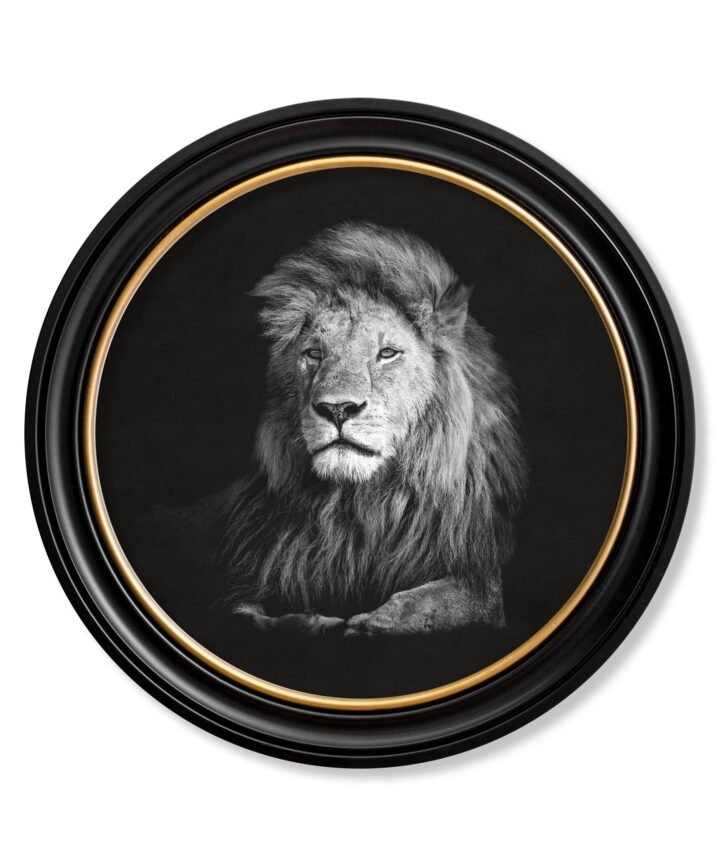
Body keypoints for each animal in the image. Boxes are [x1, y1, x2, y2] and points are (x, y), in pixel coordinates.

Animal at [217, 221, 527, 636]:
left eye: (387, 354)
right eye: (314, 353)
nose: (337, 408)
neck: (361, 507)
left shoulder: (480, 580)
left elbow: (428, 602)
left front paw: (367, 624)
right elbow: (243, 614)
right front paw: (310, 622)